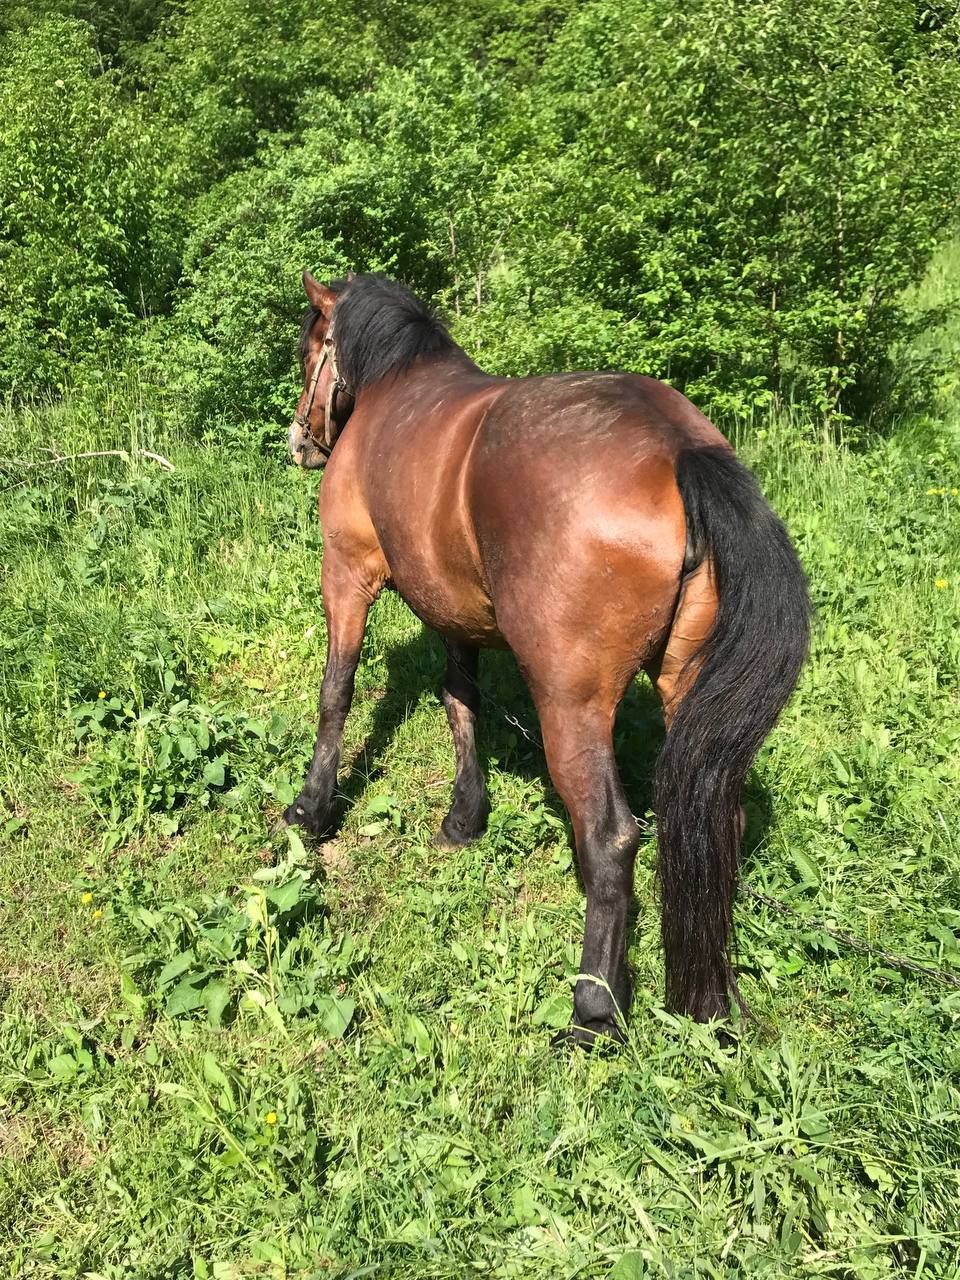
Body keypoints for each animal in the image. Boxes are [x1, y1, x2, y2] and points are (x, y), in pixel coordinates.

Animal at [285, 272, 814, 1049]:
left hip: (571, 702)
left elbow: (337, 692)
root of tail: (679, 448)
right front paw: (464, 819)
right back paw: (716, 998)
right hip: (685, 689)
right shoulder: (455, 610)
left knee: (611, 838)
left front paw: (311, 808)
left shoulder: (347, 571)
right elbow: (460, 703)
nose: (301, 442)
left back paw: (593, 1009)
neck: (395, 383)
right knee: (719, 821)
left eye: (311, 348)